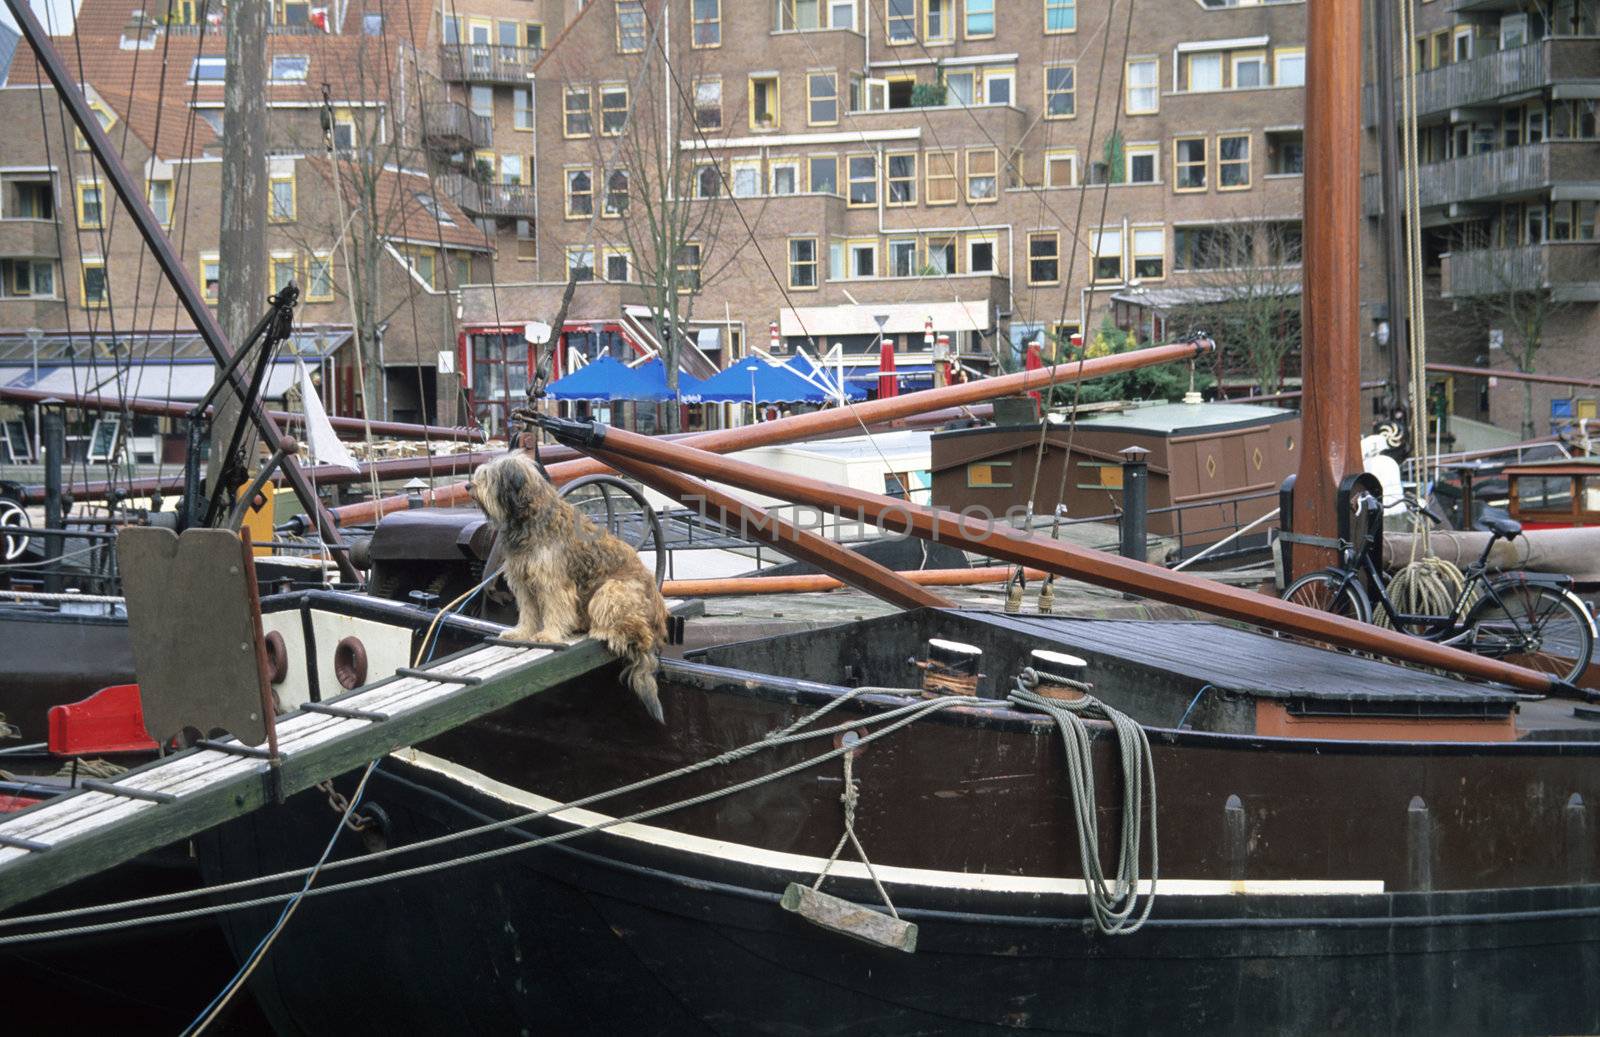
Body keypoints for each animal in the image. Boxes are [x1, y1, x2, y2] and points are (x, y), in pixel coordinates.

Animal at [473, 454, 675, 720]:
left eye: (488, 477)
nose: (468, 487)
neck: (529, 516)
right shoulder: (524, 582)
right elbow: (528, 611)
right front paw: (521, 632)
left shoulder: (552, 581)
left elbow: (554, 609)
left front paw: (548, 635)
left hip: (612, 589)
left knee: (637, 631)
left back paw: (606, 630)